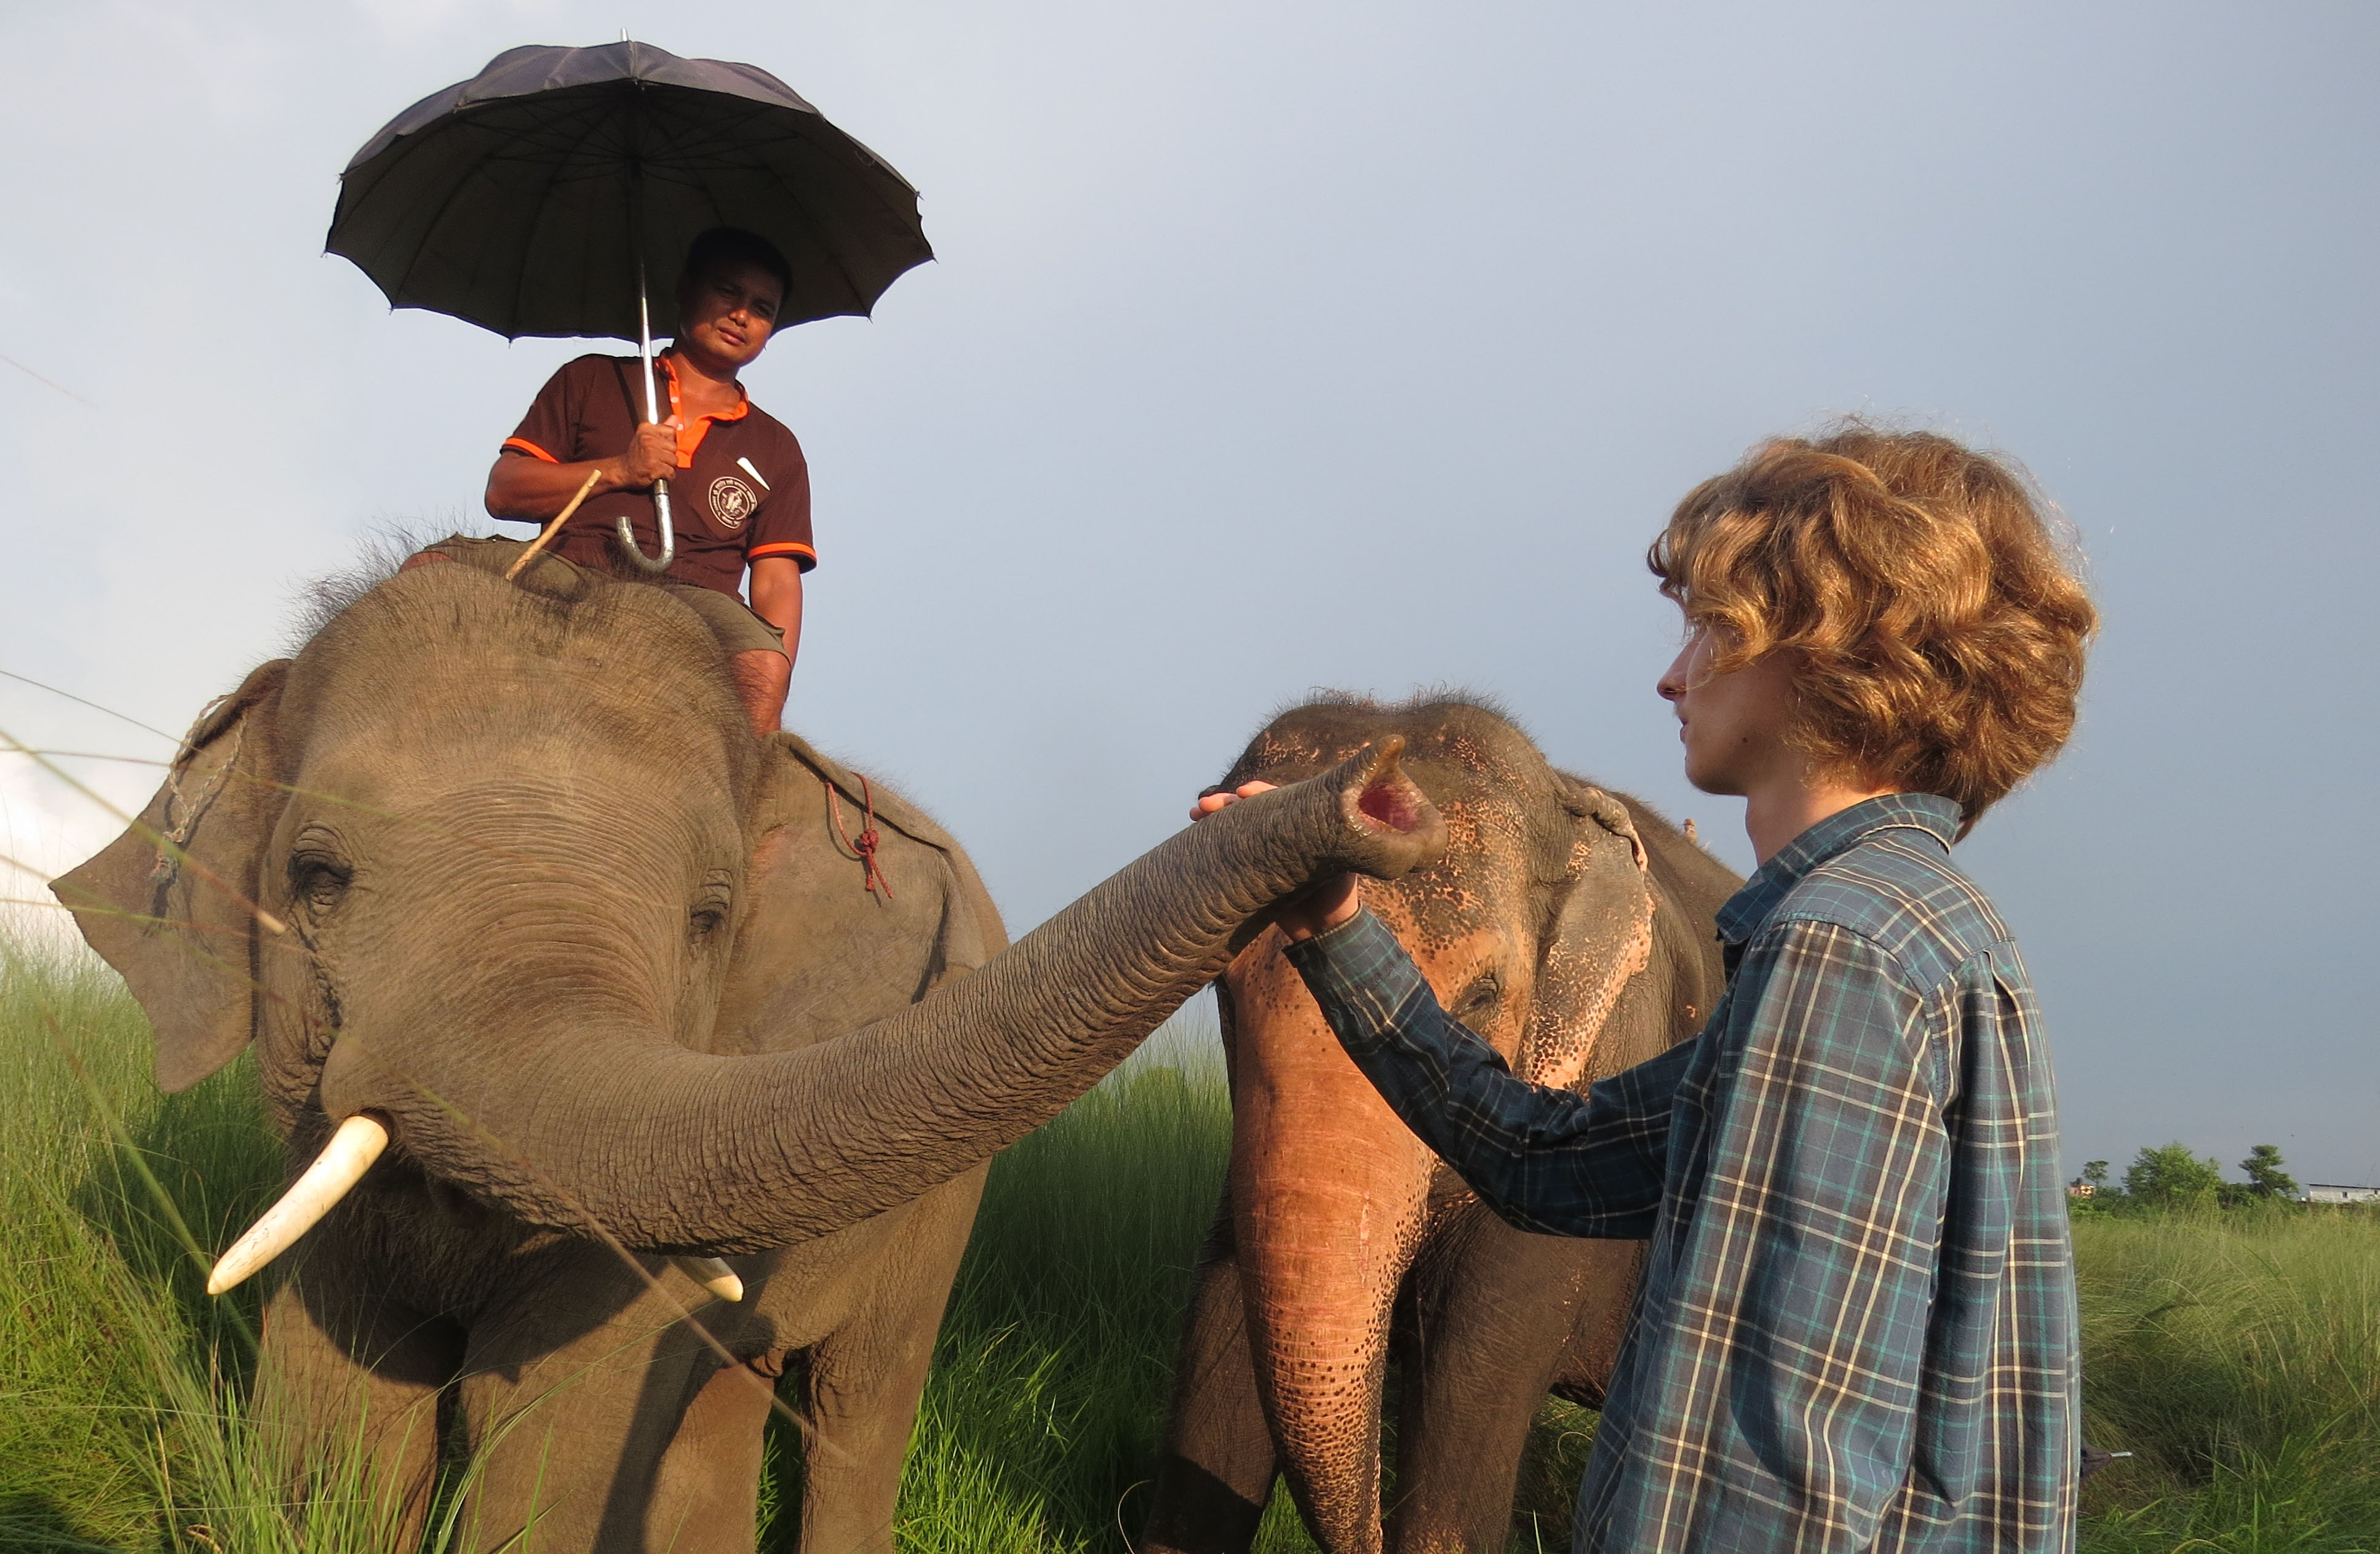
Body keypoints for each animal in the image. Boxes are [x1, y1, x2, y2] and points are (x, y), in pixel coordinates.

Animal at [51, 552, 1446, 1553]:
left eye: (707, 919)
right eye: (316, 878)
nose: (1375, 795)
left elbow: (544, 1419)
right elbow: (334, 1406)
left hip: (940, 1215)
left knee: (854, 1407)